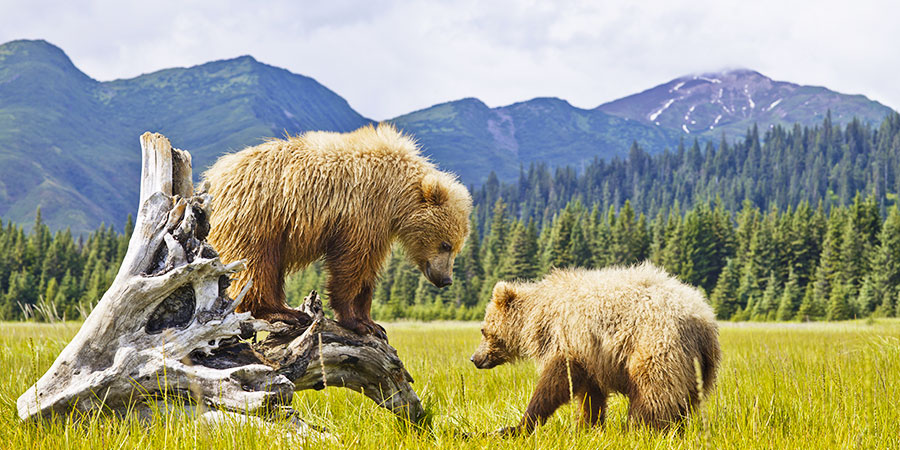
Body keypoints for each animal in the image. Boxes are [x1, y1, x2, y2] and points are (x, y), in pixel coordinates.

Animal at [204, 123, 472, 338]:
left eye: (457, 248)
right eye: (446, 244)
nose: (446, 279)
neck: (395, 196)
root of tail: (213, 174)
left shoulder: (379, 227)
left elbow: (368, 269)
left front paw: (373, 323)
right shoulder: (361, 211)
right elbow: (350, 264)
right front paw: (355, 321)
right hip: (256, 214)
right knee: (255, 264)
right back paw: (280, 313)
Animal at [472, 262, 716, 434]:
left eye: (483, 330)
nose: (475, 358)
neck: (536, 316)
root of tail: (701, 321)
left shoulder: (567, 337)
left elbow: (556, 381)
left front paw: (519, 424)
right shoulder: (591, 354)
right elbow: (590, 394)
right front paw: (588, 426)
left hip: (655, 343)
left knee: (653, 391)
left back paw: (639, 428)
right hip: (697, 367)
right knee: (684, 400)